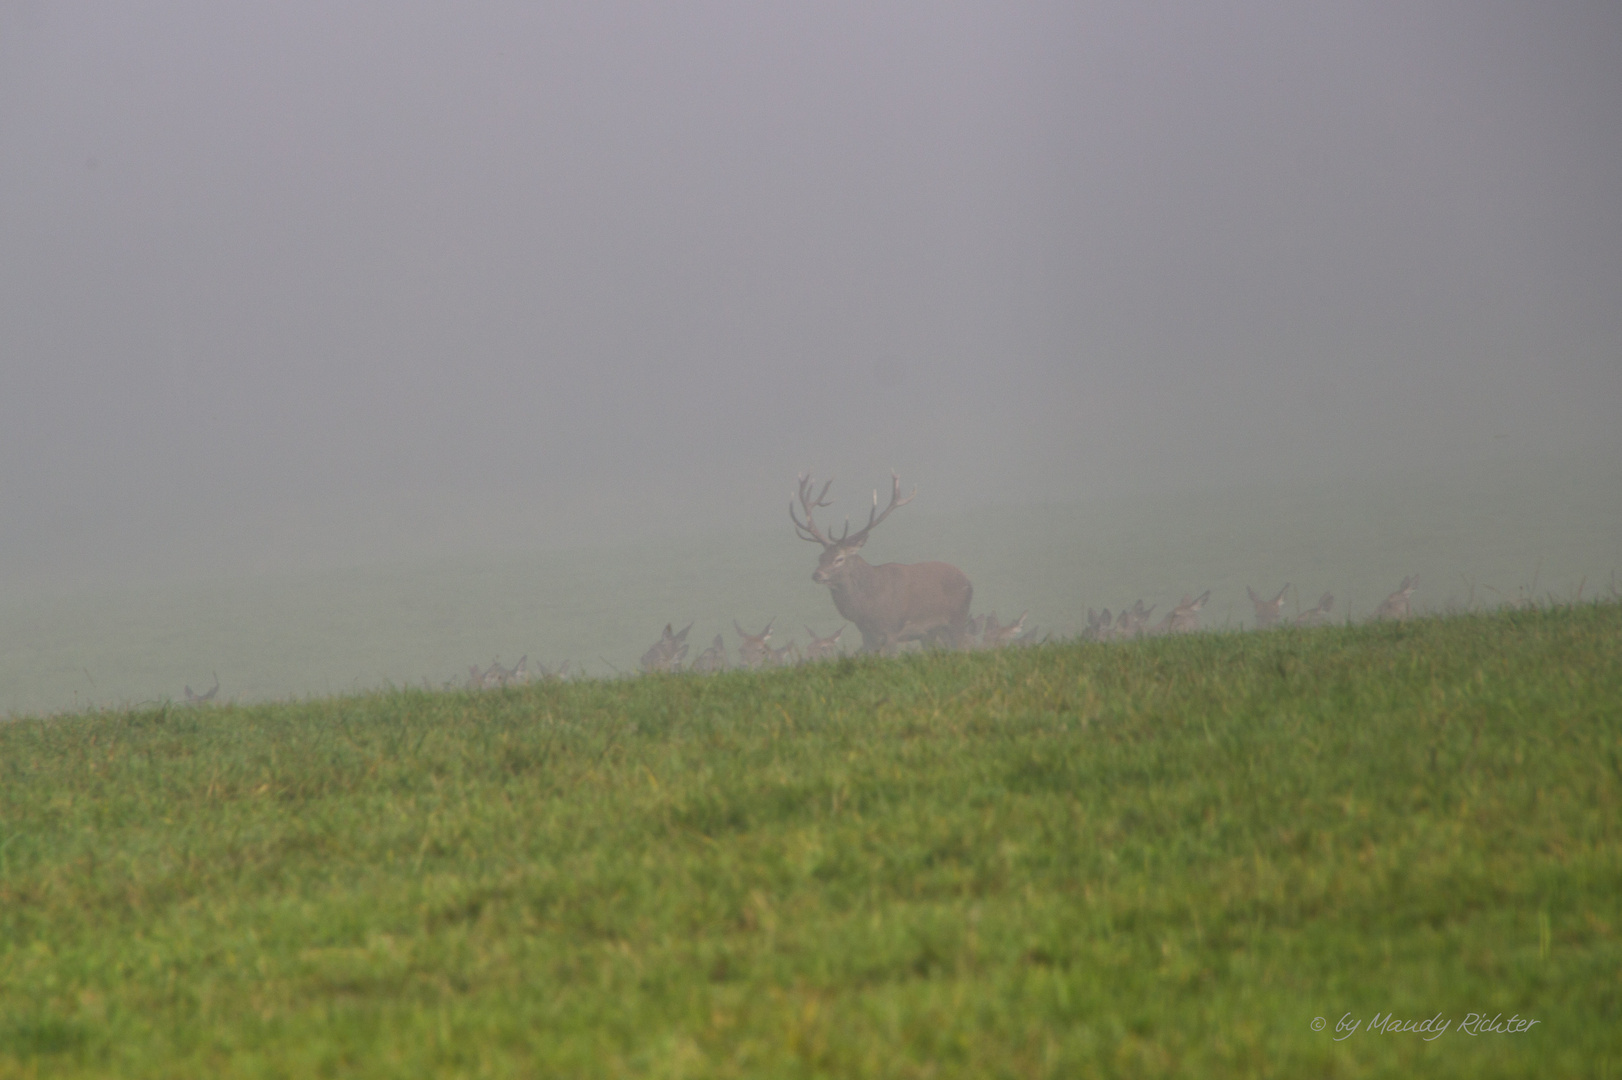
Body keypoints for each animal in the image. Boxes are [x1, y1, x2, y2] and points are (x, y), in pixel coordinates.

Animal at [791, 470, 966, 648]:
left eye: (839, 558)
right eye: (821, 557)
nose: (817, 575)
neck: (868, 608)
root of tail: (968, 580)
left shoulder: (892, 631)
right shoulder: (867, 635)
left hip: (958, 619)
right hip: (932, 633)